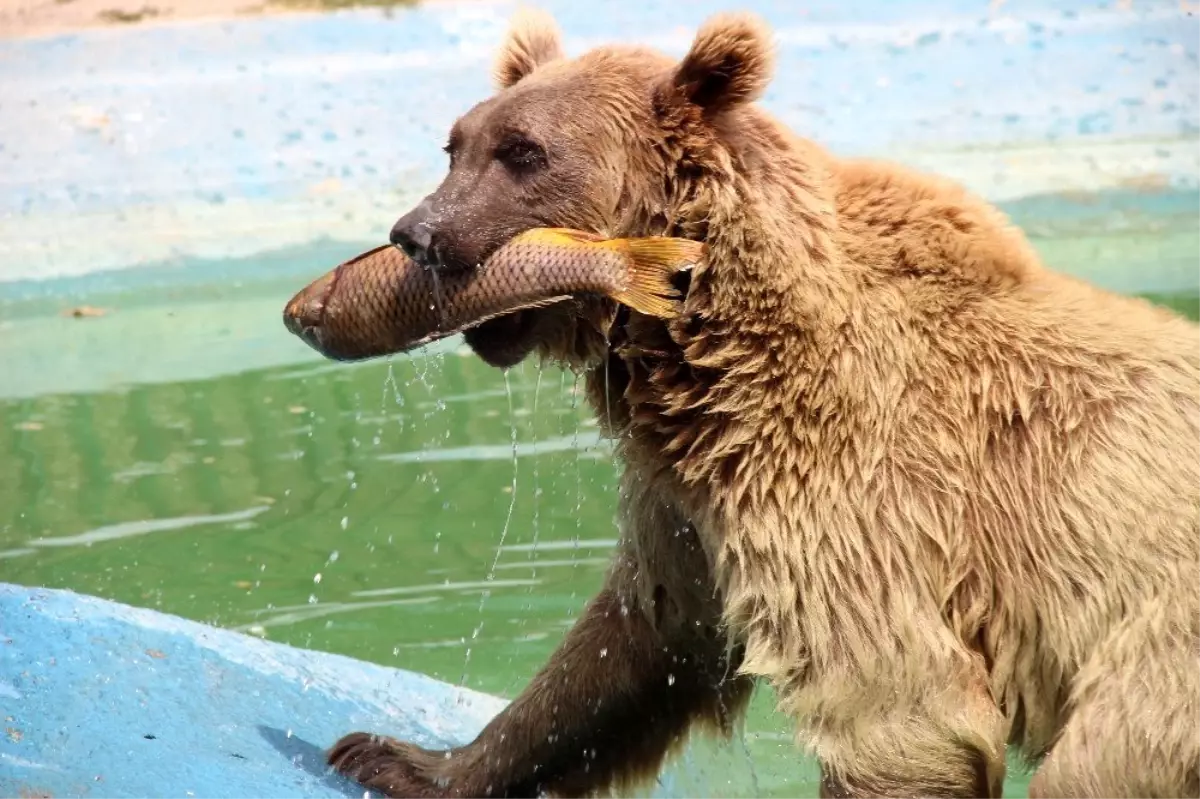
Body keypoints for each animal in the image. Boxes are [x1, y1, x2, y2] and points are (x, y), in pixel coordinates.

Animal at [324, 7, 1200, 796]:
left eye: (524, 151)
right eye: (456, 144)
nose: (417, 234)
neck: (707, 348)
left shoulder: (850, 486)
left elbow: (900, 712)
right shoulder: (695, 498)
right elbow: (636, 638)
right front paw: (400, 758)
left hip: (1159, 665)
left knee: (1094, 769)